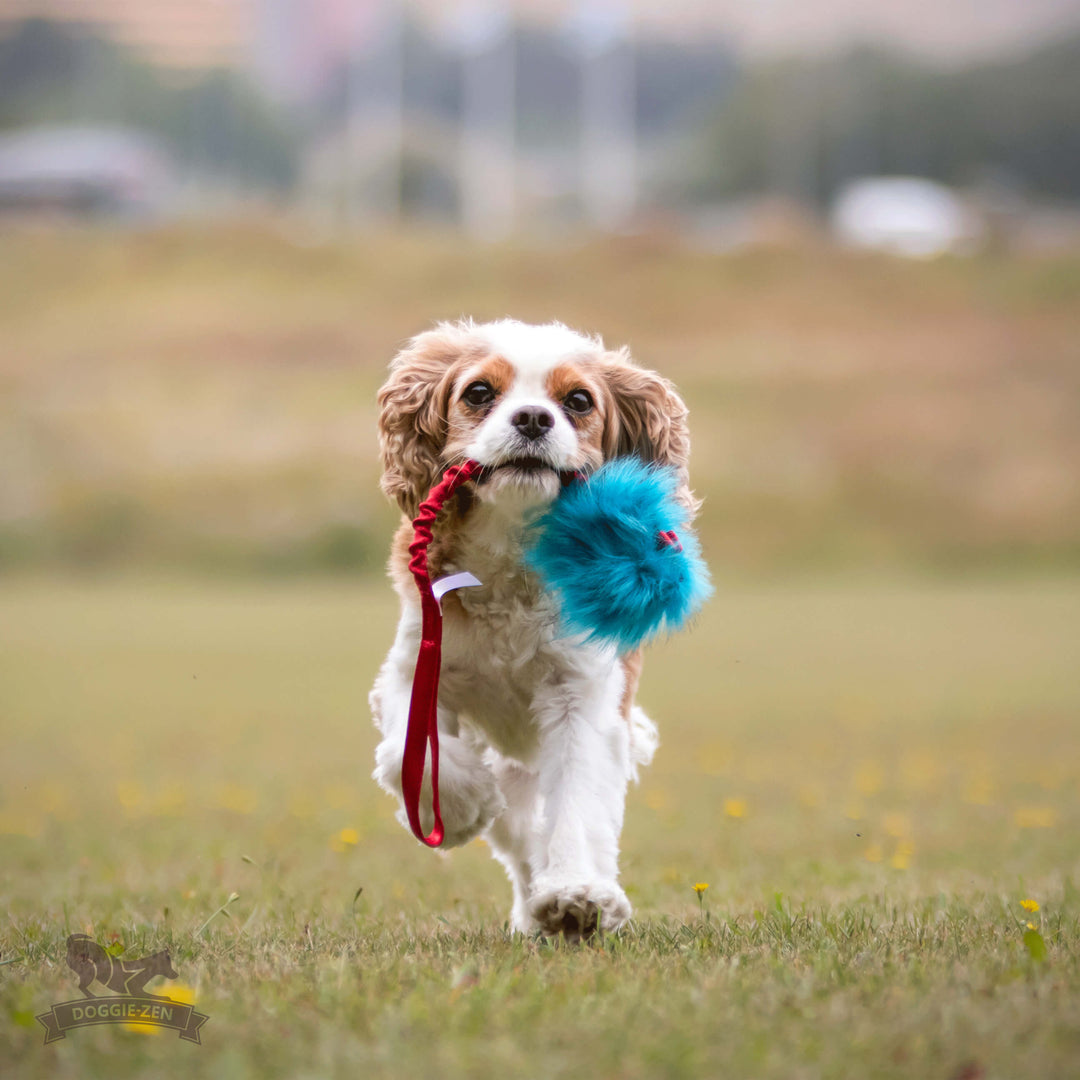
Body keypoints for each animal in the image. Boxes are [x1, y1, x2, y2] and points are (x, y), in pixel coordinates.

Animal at [369, 317, 691, 937]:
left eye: (579, 401)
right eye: (478, 393)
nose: (534, 419)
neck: (511, 551)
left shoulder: (582, 698)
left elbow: (576, 803)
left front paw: (575, 893)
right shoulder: (415, 665)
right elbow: (404, 751)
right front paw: (461, 804)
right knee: (519, 842)